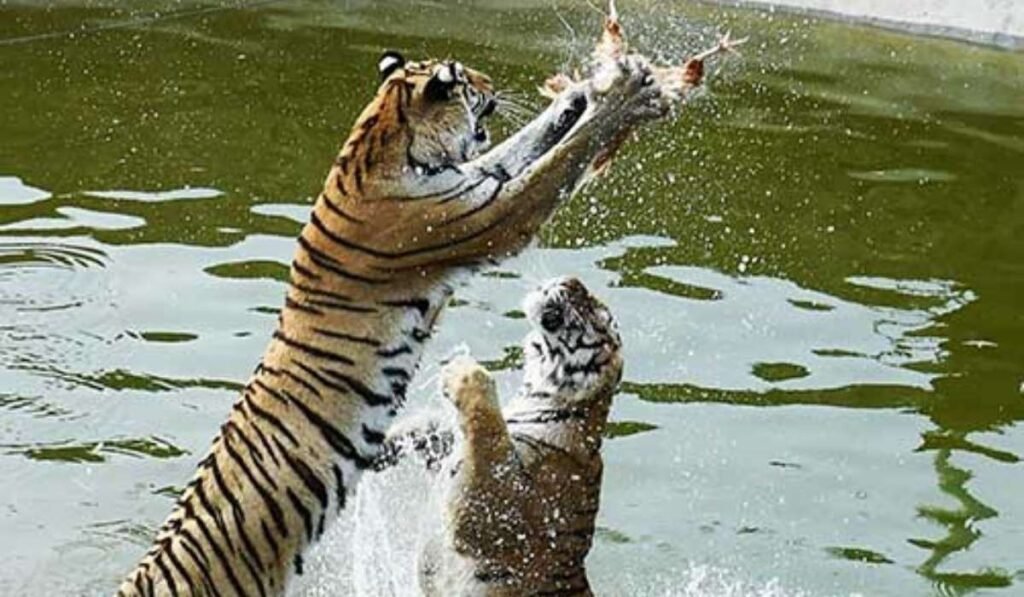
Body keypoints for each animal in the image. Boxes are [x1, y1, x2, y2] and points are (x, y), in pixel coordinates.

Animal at [382, 277, 623, 596]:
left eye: (598, 314)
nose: (573, 280)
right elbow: (431, 426)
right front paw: (380, 448)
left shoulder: (496, 507)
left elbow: (488, 433)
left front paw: (463, 370)